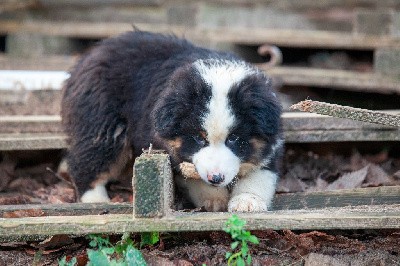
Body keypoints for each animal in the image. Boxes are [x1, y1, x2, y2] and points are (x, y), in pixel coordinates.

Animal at [61, 30, 282, 212]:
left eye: (234, 139)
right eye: (198, 138)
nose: (216, 178)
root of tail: (93, 53)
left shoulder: (270, 144)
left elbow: (261, 174)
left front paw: (248, 201)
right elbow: (191, 174)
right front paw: (214, 198)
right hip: (102, 121)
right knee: (90, 158)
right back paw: (96, 199)